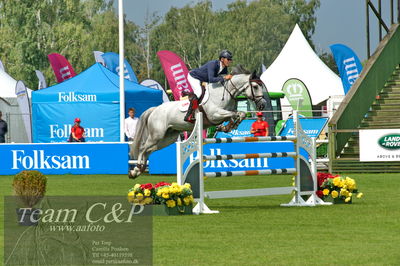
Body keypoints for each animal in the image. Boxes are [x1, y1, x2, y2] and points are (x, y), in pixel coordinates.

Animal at [129, 68, 266, 179]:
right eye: (255, 86)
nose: (262, 105)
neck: (226, 93)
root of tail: (155, 109)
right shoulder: (215, 115)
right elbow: (234, 114)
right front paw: (228, 126)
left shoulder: (224, 114)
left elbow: (239, 114)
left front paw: (228, 127)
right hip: (157, 135)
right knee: (143, 148)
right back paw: (137, 168)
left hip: (168, 138)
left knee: (149, 150)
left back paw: (137, 171)